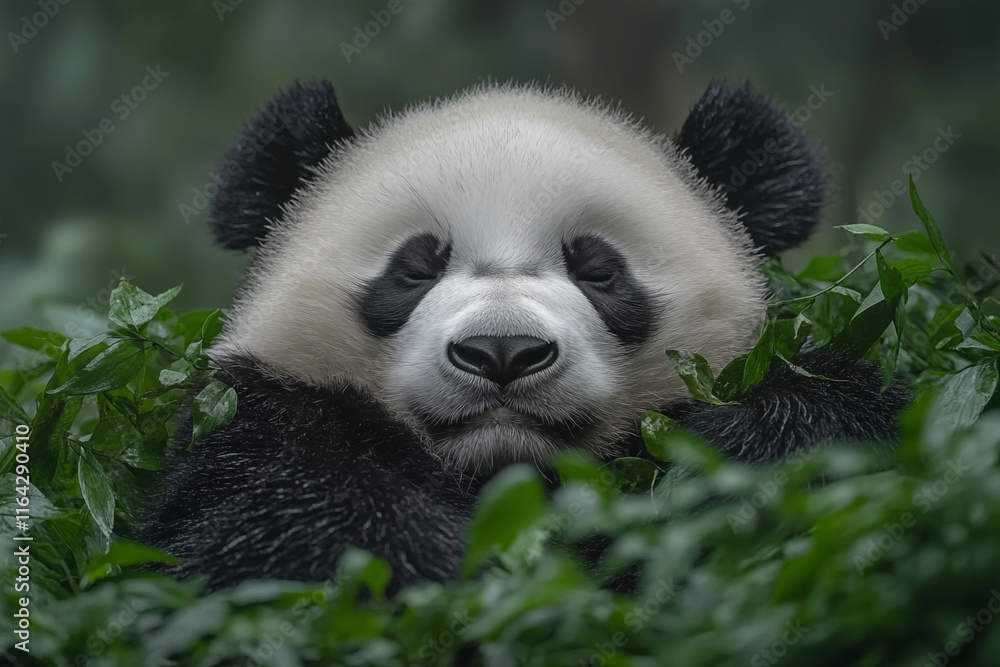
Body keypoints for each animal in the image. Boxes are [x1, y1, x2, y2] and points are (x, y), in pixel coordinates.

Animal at [141, 80, 908, 593]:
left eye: (598, 270)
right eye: (414, 269)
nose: (502, 353)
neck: (505, 475)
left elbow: (827, 433)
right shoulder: (262, 422)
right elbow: (288, 518)